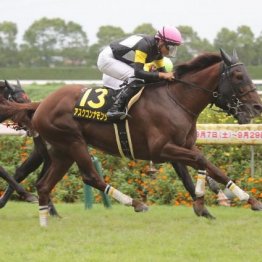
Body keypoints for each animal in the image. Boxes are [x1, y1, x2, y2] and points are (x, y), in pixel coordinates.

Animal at [2, 50, 262, 226]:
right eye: (238, 75)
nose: (257, 106)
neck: (176, 99)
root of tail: (41, 103)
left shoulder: (180, 147)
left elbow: (208, 168)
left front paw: (240, 200)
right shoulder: (162, 149)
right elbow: (201, 161)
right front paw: (212, 200)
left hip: (61, 150)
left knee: (44, 184)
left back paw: (45, 220)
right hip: (73, 142)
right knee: (90, 176)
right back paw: (135, 203)